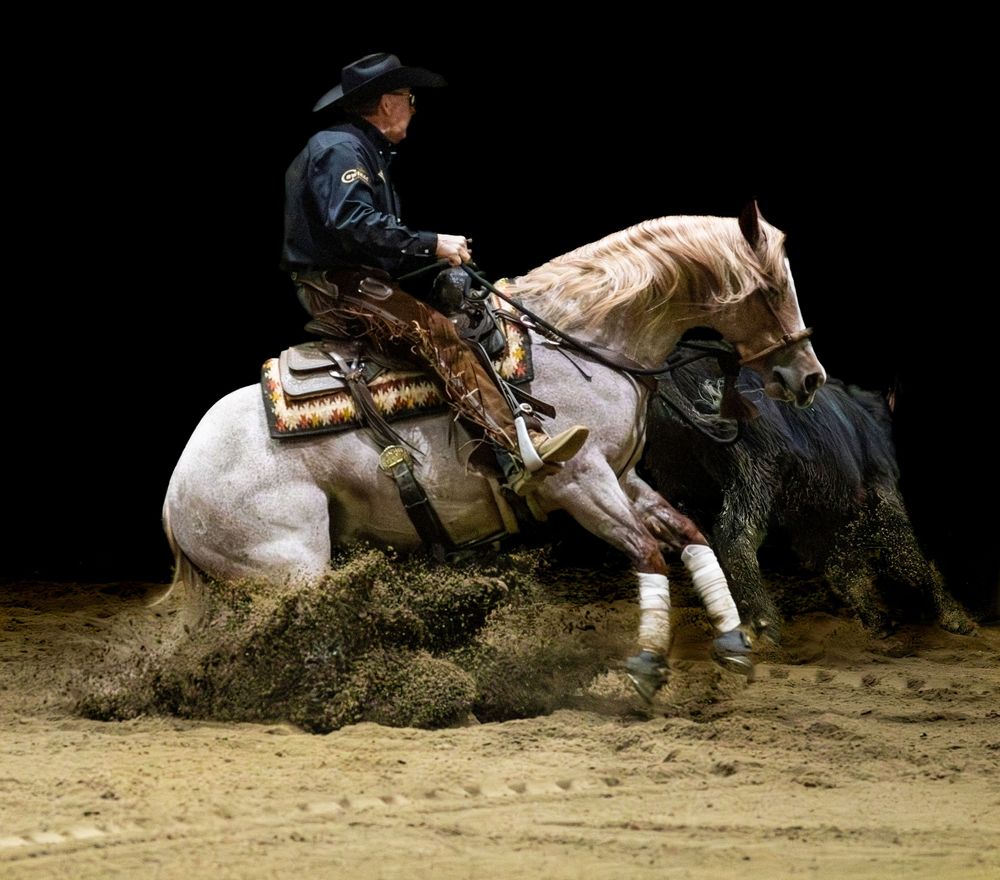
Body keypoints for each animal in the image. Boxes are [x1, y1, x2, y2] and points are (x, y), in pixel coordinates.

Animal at [162, 202, 826, 700]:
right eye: (770, 289)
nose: (808, 377)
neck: (581, 341)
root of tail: (174, 494)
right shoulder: (579, 480)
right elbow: (645, 551)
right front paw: (646, 664)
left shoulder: (622, 475)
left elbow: (689, 534)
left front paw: (734, 641)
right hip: (293, 567)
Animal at [640, 341, 976, 639]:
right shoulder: (881, 495)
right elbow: (907, 556)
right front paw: (958, 621)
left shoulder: (817, 522)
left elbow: (843, 568)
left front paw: (878, 622)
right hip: (752, 475)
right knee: (734, 536)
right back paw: (764, 625)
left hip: (682, 483)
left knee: (697, 541)